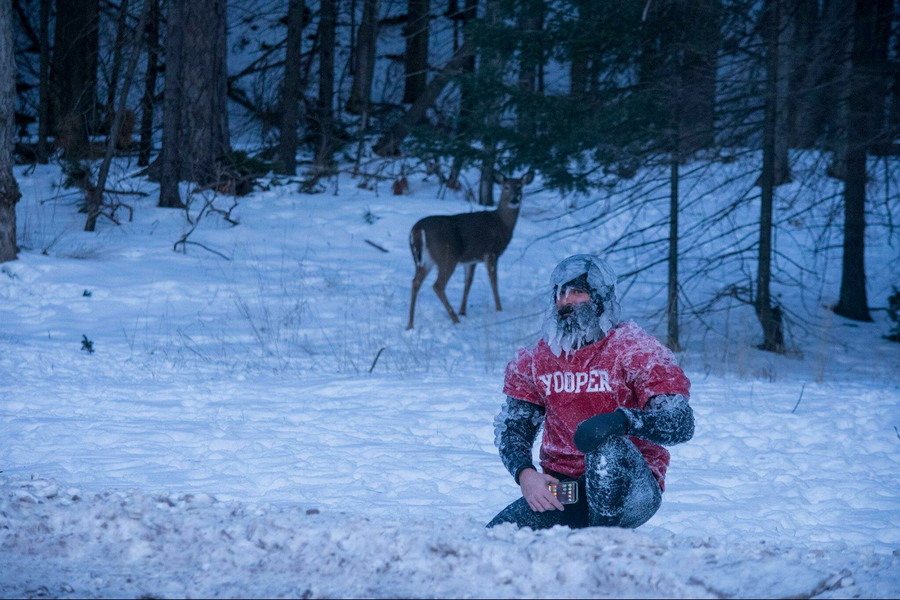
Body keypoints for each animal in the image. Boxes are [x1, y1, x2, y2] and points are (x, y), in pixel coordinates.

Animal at [408, 169, 536, 328]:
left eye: (519, 187)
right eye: (506, 187)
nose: (514, 200)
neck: (502, 224)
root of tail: (417, 230)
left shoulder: (471, 259)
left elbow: (468, 282)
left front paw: (463, 310)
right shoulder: (491, 252)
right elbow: (494, 280)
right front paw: (499, 309)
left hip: (425, 260)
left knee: (415, 282)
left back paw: (410, 324)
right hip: (447, 256)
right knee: (437, 285)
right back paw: (455, 319)